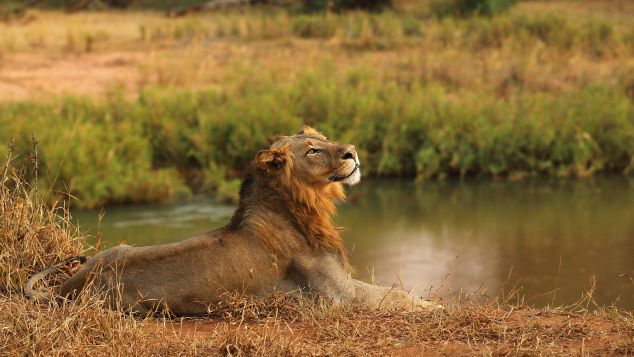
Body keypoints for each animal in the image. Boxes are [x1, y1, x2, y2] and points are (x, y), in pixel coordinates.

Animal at [25, 126, 440, 314]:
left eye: (324, 138)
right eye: (313, 150)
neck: (308, 207)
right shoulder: (338, 297)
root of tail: (73, 285)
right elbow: (395, 294)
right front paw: (437, 308)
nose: (352, 151)